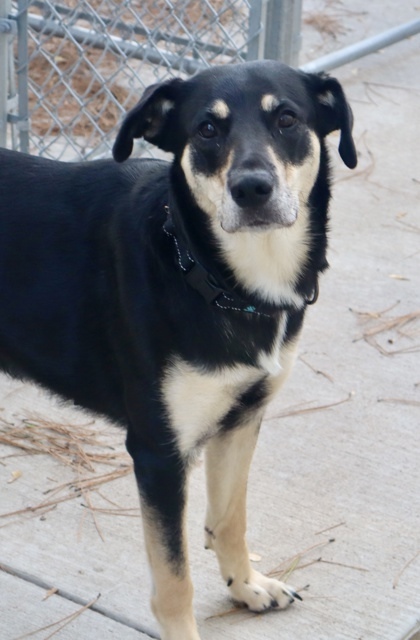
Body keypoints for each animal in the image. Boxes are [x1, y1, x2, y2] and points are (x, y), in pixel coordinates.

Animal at [0, 61, 356, 640]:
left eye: (286, 118)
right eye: (207, 130)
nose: (252, 188)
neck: (214, 277)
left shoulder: (241, 417)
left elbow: (230, 519)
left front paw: (246, 585)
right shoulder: (158, 453)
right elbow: (174, 580)